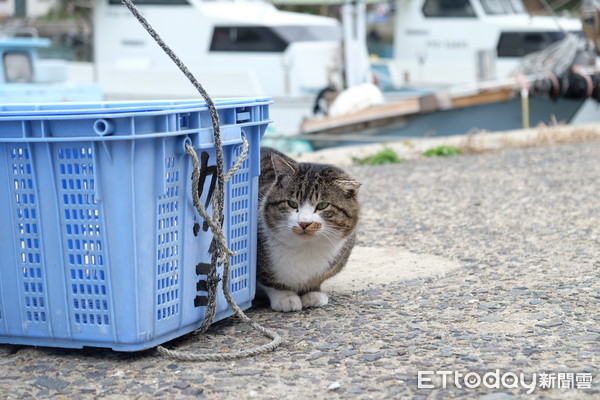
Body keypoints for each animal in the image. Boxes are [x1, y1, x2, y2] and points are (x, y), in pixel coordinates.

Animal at [258, 147, 360, 312]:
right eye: (292, 203)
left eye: (323, 205)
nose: (304, 223)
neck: (306, 247)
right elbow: (268, 281)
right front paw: (285, 297)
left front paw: (313, 293)